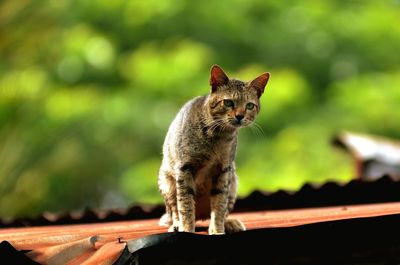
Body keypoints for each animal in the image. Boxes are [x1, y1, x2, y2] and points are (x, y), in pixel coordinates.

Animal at [158, 65, 270, 234]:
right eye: (228, 103)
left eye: (249, 105)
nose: (240, 116)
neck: (218, 136)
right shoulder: (184, 168)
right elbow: (185, 205)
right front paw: (187, 229)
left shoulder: (223, 170)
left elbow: (219, 206)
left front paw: (217, 230)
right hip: (167, 183)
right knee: (175, 211)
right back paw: (177, 225)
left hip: (233, 181)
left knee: (223, 210)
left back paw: (228, 223)